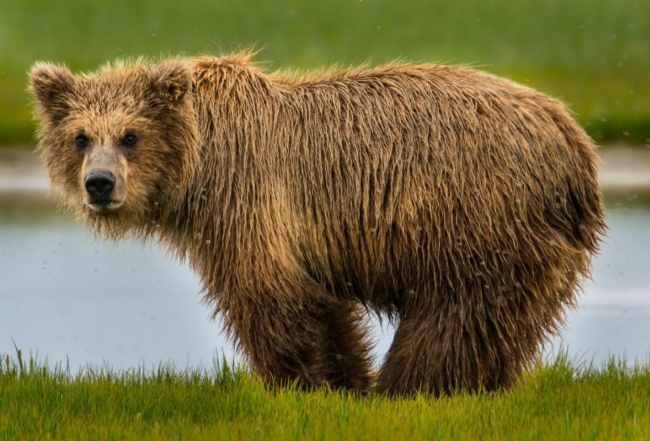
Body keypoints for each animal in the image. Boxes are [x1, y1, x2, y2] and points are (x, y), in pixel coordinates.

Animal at [27, 51, 604, 396]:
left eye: (130, 135)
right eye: (81, 136)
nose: (100, 183)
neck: (200, 166)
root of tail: (572, 139)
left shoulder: (249, 197)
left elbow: (273, 293)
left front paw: (317, 382)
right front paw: (344, 378)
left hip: (472, 214)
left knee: (458, 309)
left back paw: (411, 386)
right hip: (539, 240)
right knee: (507, 317)